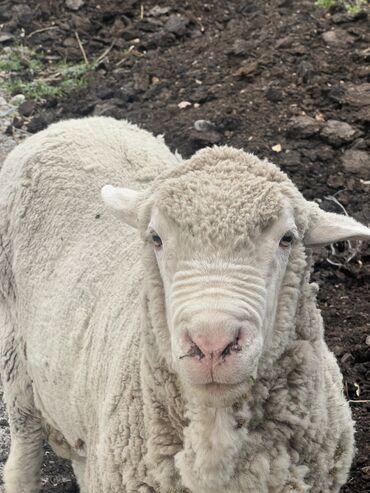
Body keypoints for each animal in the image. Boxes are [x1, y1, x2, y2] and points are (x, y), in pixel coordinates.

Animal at [0, 116, 368, 492]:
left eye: (287, 239)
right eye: (156, 238)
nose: (212, 343)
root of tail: (76, 122)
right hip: (15, 354)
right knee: (25, 443)